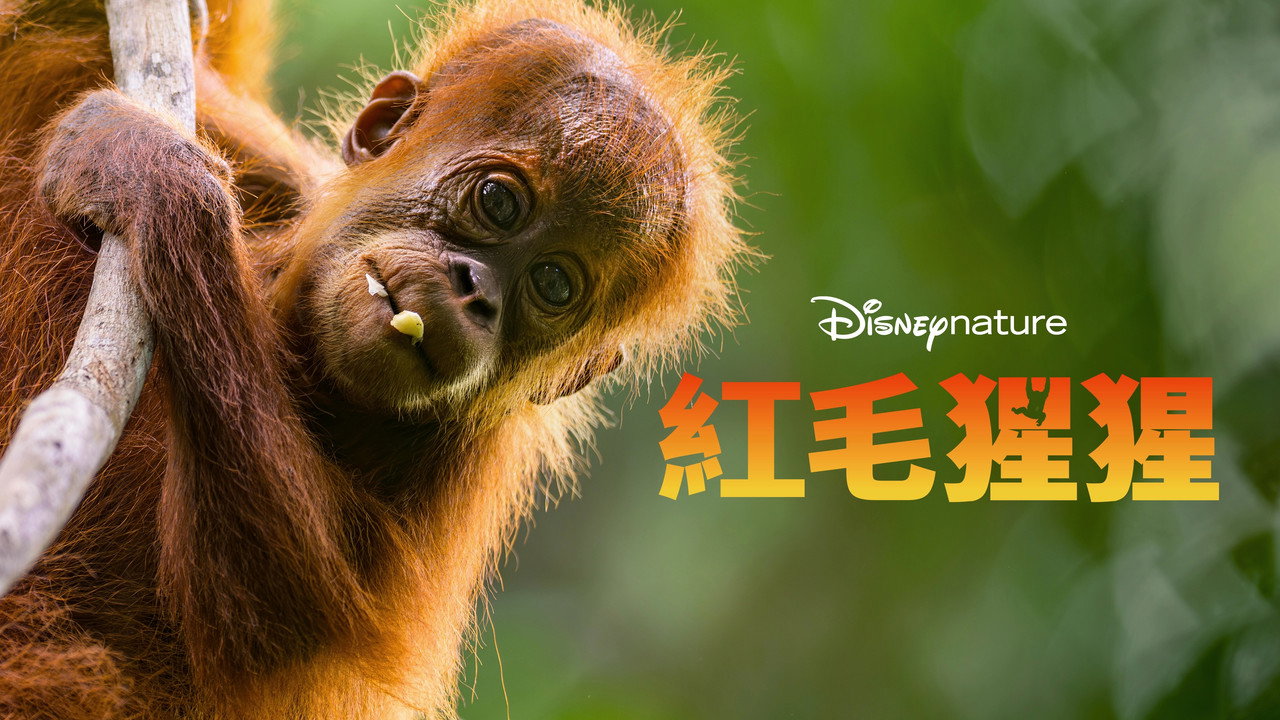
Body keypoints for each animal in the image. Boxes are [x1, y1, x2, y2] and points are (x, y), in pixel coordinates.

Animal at [0, 0, 749, 718]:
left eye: (554, 284)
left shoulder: (456, 473)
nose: (476, 293)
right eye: (499, 201)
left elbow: (271, 615)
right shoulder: (280, 177)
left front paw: (152, 177)